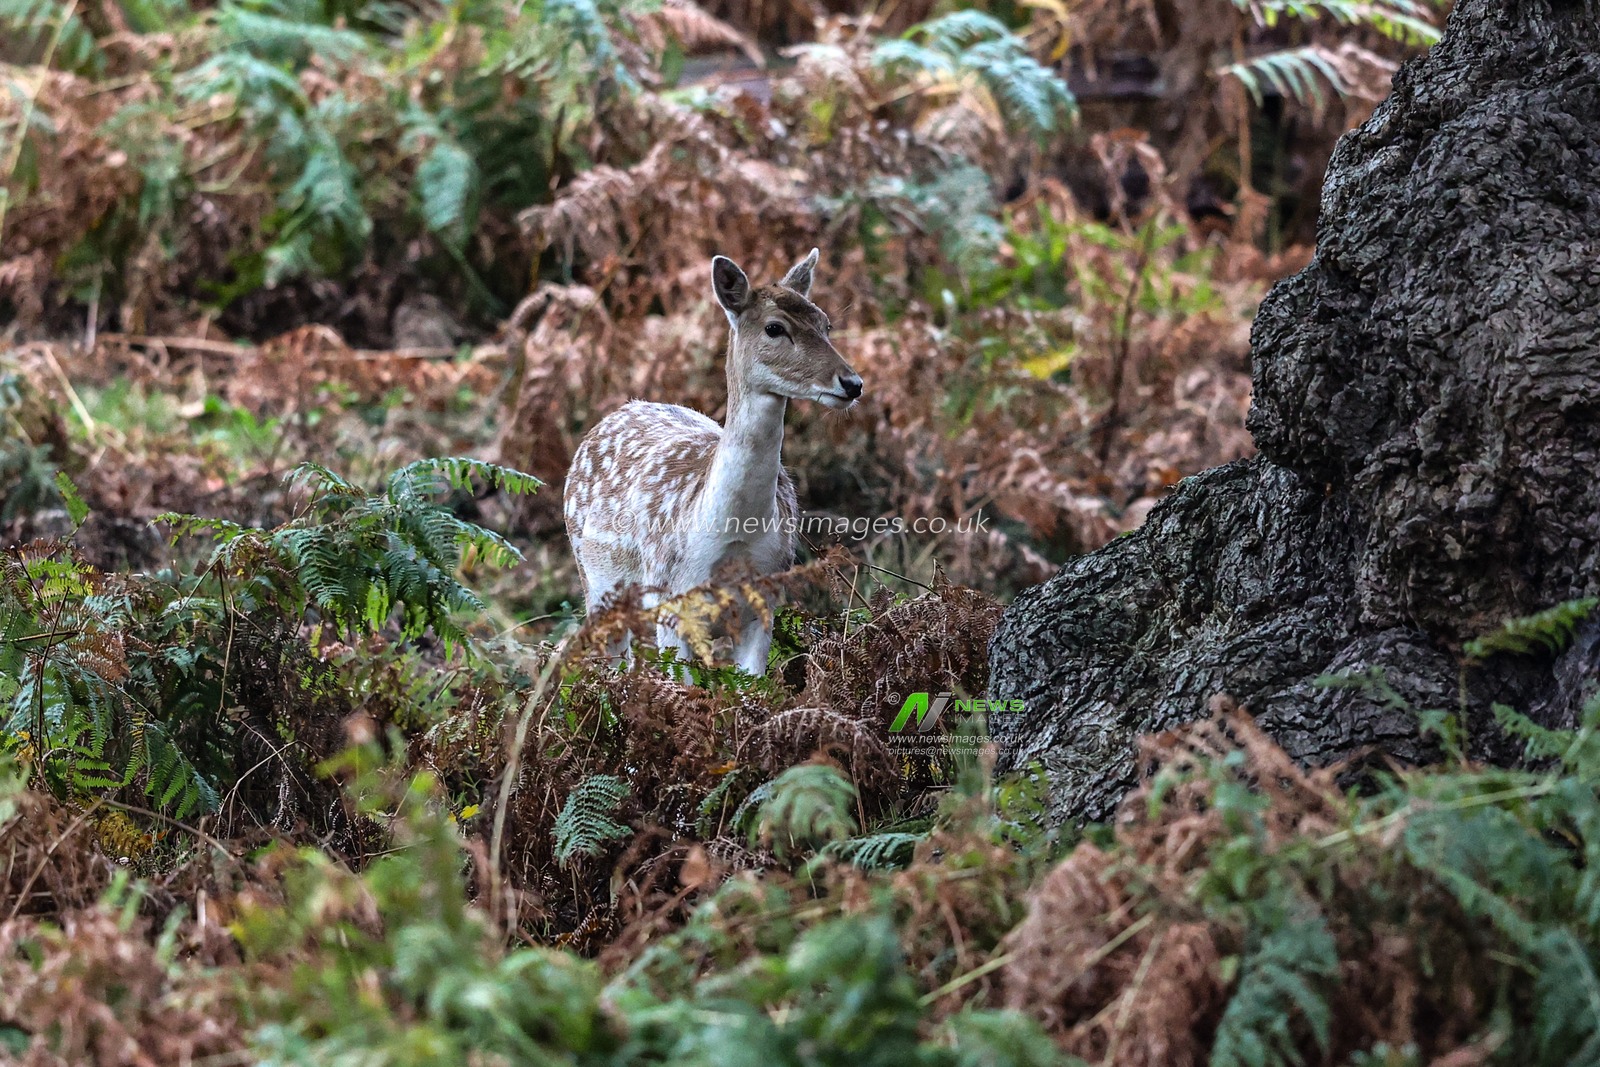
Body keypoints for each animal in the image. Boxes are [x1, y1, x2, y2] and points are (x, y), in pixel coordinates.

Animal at [563, 249, 862, 676]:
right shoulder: (671, 603)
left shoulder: (764, 603)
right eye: (775, 328)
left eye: (826, 323)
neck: (732, 533)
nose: (852, 383)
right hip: (594, 579)